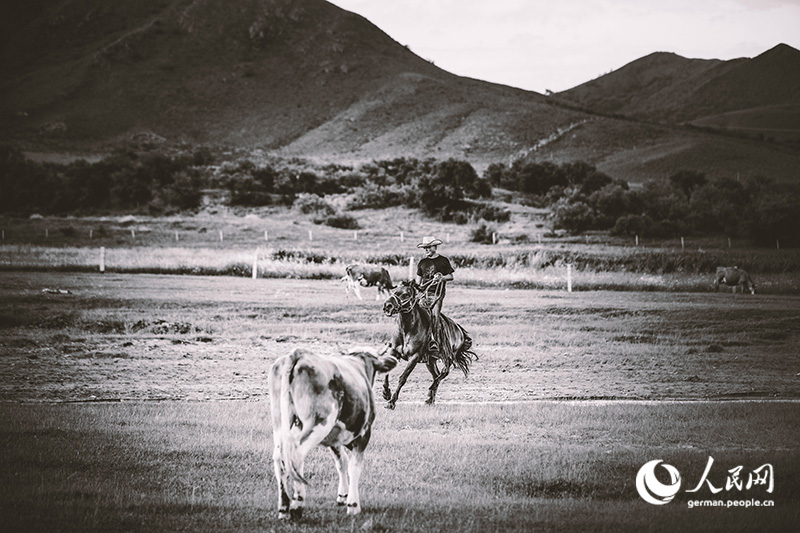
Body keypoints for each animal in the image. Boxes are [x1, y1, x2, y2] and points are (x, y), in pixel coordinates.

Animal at [381, 280, 477, 409]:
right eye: (394, 291)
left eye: (406, 294)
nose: (388, 305)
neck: (407, 329)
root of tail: (459, 330)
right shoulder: (394, 352)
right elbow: (387, 371)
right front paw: (386, 393)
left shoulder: (414, 357)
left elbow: (403, 378)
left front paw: (391, 402)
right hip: (431, 361)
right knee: (436, 375)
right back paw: (430, 399)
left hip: (447, 357)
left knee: (443, 373)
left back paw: (431, 390)